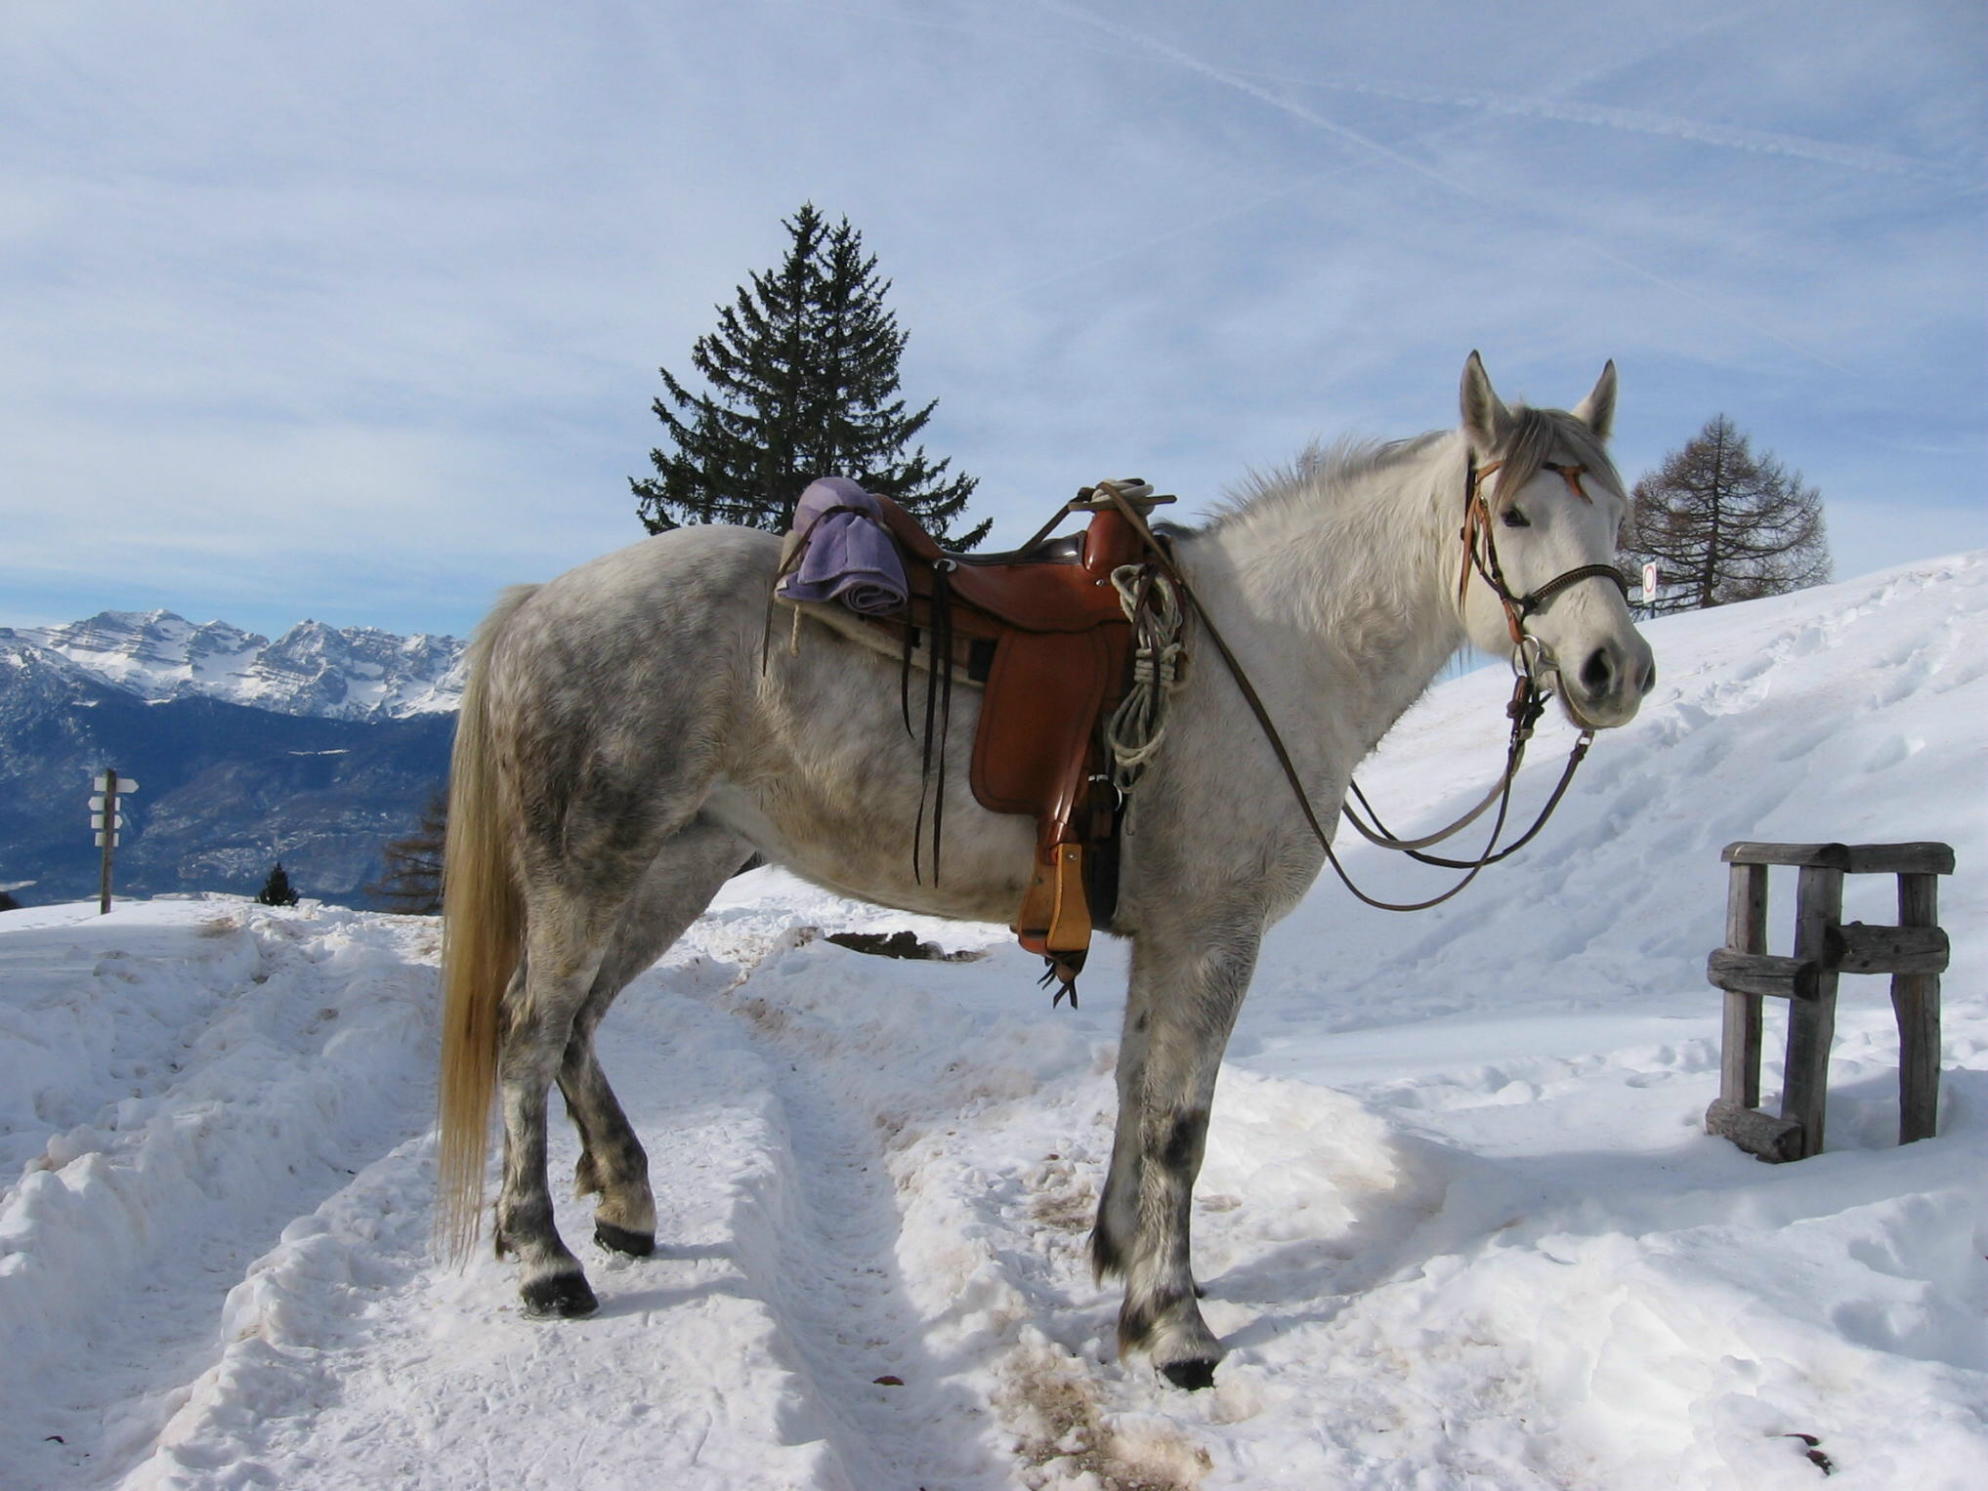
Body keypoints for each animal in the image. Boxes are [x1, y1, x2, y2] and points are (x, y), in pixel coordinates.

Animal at [439, 349, 1661, 1391]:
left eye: (1616, 512)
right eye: (1514, 513)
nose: (1616, 669)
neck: (1269, 654)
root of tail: (543, 600)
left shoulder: (1162, 938)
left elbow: (1135, 1090)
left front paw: (1121, 1258)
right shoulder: (1214, 936)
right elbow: (1181, 1124)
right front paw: (1175, 1326)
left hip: (672, 865)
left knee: (580, 1023)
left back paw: (623, 1201)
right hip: (591, 863)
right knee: (530, 1029)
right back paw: (545, 1258)